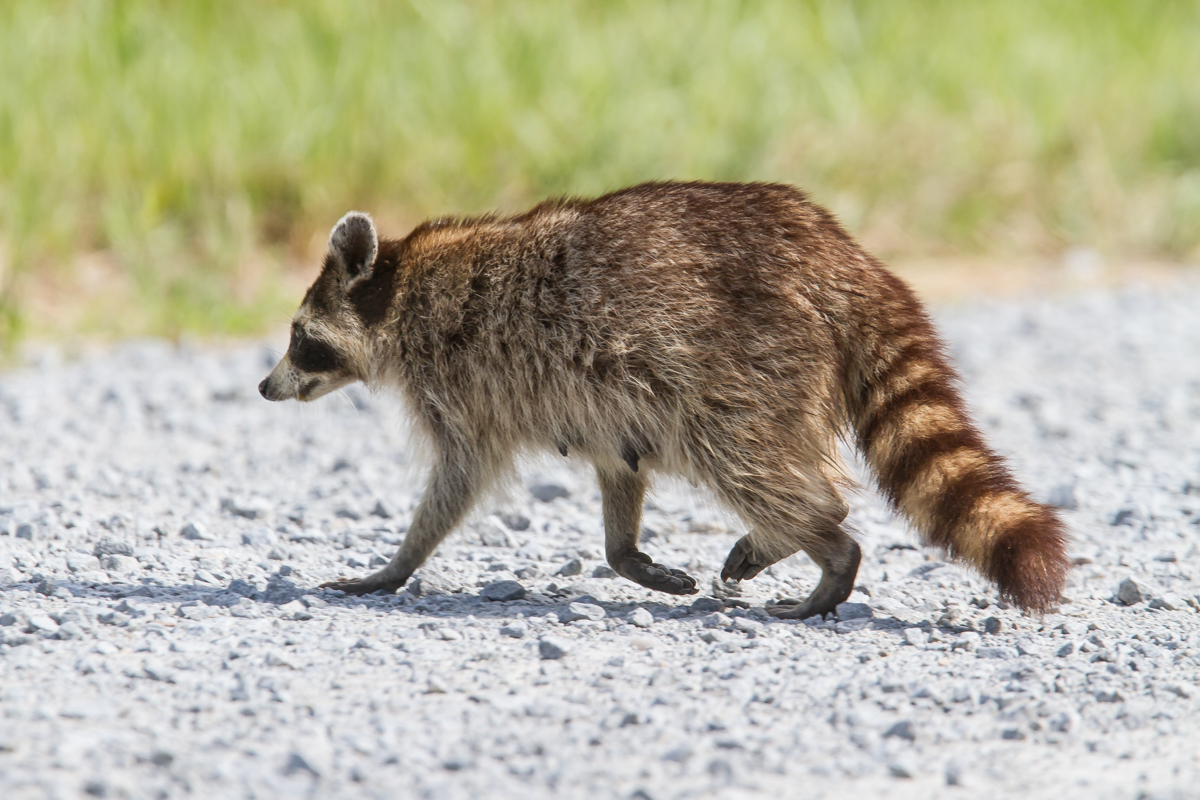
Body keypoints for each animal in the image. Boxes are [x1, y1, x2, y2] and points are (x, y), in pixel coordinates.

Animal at [259, 182, 1068, 619]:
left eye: (300, 338)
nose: (266, 386)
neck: (397, 289)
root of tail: (840, 256)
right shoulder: (594, 399)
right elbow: (619, 466)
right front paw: (627, 555)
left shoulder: (460, 382)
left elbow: (458, 479)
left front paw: (395, 565)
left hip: (742, 358)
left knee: (743, 455)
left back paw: (822, 539)